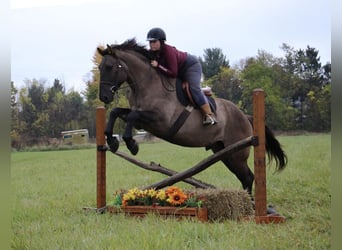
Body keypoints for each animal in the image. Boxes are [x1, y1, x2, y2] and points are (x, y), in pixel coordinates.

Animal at [96, 38, 286, 195]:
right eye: (100, 68)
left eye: (110, 67)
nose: (104, 97)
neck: (147, 84)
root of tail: (245, 116)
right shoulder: (143, 121)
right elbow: (116, 112)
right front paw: (112, 141)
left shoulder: (159, 121)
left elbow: (132, 116)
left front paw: (131, 144)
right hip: (225, 152)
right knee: (245, 177)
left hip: (237, 152)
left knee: (247, 177)